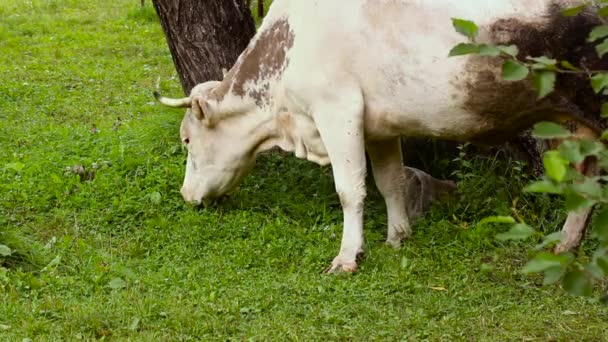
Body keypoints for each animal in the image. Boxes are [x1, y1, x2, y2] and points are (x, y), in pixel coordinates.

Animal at [156, 0, 604, 272]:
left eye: (187, 140)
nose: (186, 194)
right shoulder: (379, 127)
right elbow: (390, 182)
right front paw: (397, 238)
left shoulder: (338, 111)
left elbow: (350, 190)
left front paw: (347, 257)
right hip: (574, 128)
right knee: (584, 187)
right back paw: (564, 248)